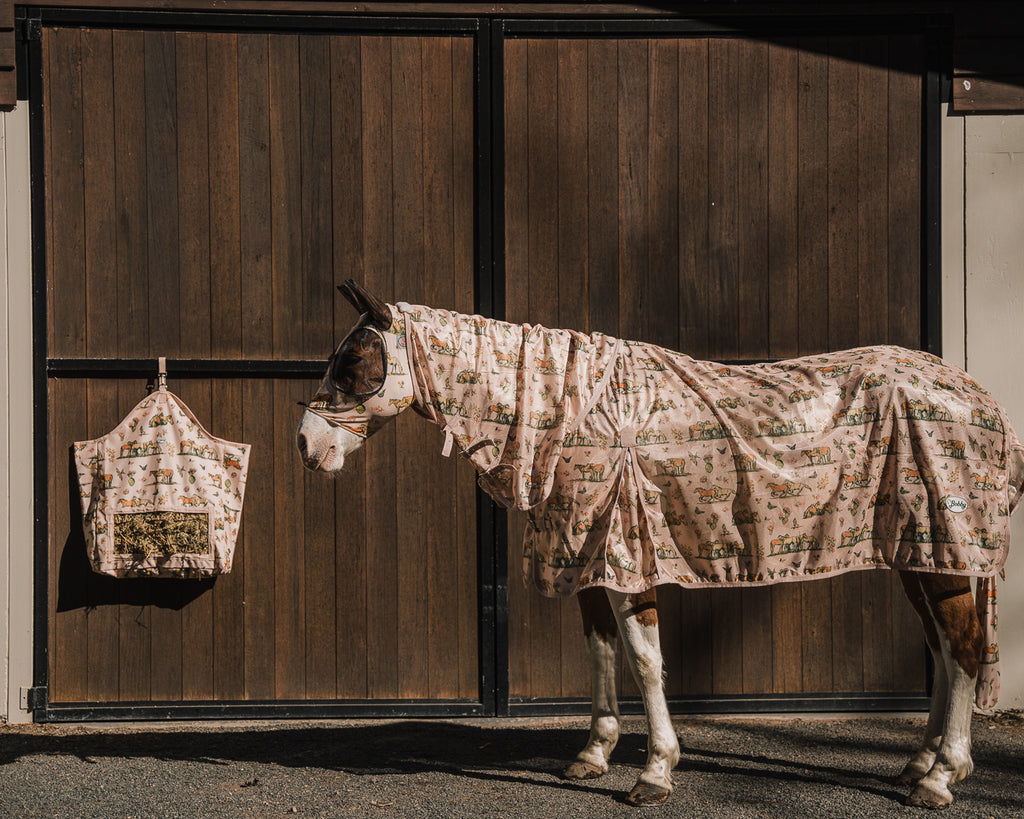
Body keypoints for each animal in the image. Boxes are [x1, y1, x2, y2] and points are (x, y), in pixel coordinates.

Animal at [297, 280, 1024, 809]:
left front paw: (654, 772)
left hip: (943, 549)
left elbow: (646, 659)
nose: (306, 445)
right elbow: (600, 649)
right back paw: (918, 763)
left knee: (961, 648)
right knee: (942, 647)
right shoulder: (585, 556)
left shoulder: (627, 555)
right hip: (920, 554)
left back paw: (941, 778)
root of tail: (979, 399)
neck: (574, 413)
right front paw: (592, 755)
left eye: (353, 360)